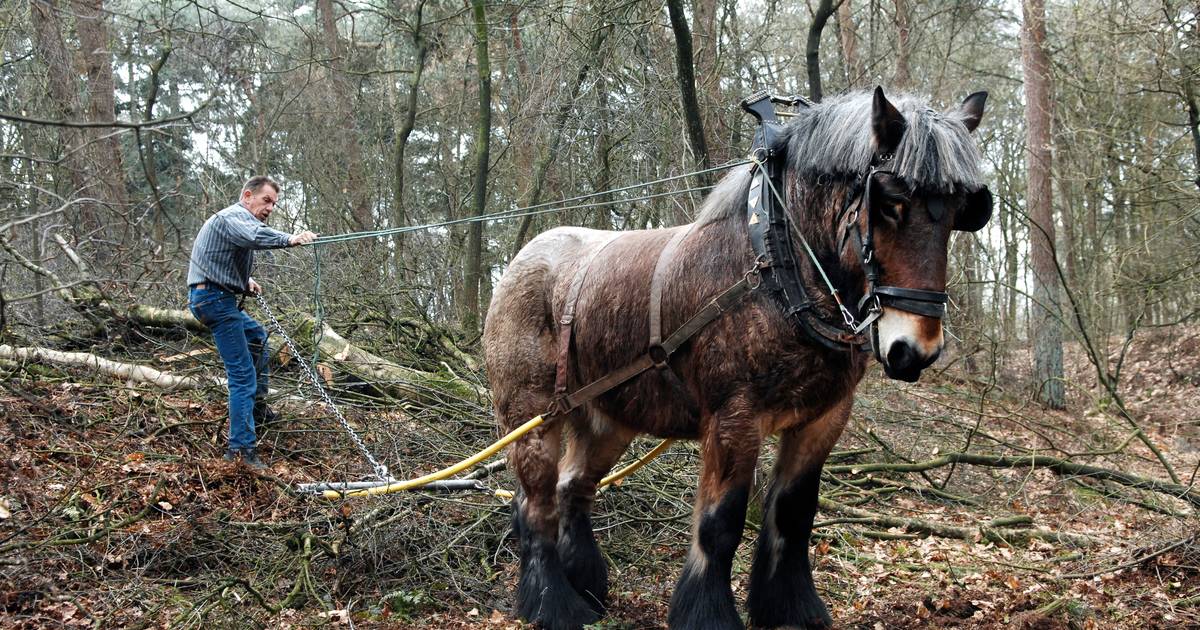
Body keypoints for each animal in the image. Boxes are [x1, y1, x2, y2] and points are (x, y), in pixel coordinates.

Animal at [483, 87, 993, 630]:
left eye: (962, 210)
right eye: (892, 203)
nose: (915, 351)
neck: (778, 270)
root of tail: (520, 262)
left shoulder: (823, 419)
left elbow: (793, 514)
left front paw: (792, 609)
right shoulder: (734, 418)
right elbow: (720, 522)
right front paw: (706, 613)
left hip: (608, 419)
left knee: (572, 489)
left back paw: (587, 588)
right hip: (531, 414)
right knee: (536, 502)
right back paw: (553, 603)